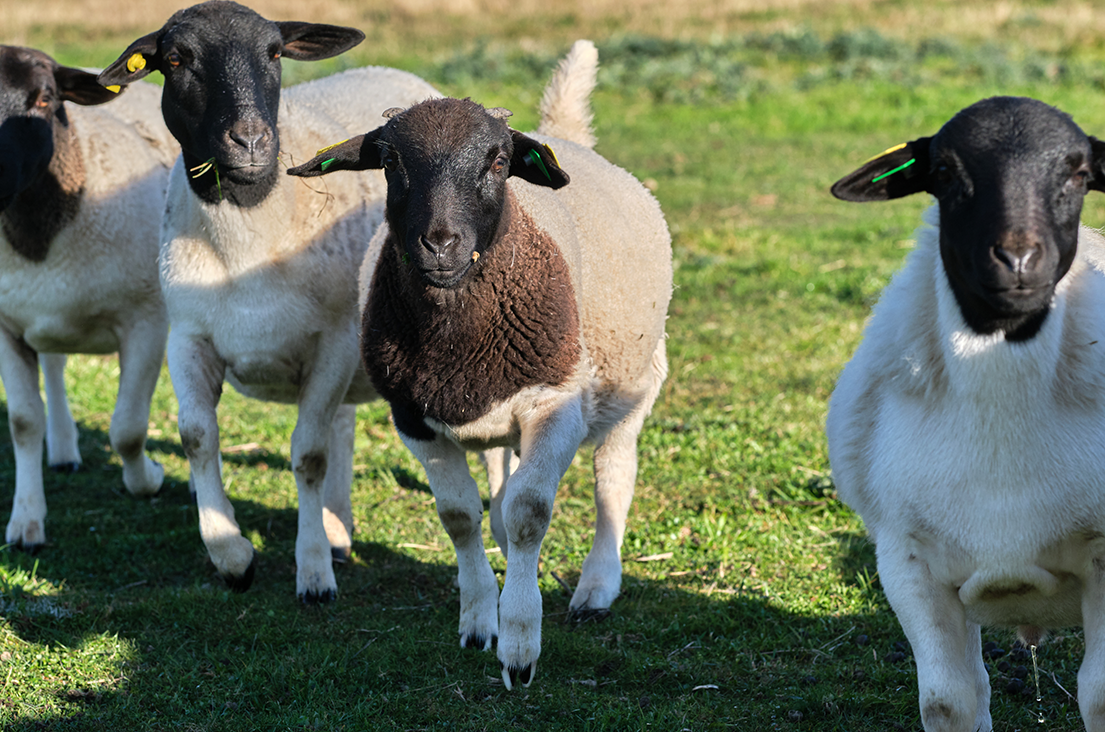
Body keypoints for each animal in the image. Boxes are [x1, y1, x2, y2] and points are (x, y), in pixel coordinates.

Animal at [0, 45, 178, 551]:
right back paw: (62, 449)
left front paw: (150, 479)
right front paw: (26, 522)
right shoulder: (7, 326)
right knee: (55, 364)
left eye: (45, 98)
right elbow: (24, 421)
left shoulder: (145, 319)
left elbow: (128, 430)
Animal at [97, 0, 442, 603]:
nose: (252, 142)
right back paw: (337, 529)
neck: (247, 240)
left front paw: (313, 573)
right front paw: (233, 556)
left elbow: (308, 455)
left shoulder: (332, 344)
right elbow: (196, 437)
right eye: (176, 58)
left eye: (276, 53)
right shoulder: (188, 336)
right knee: (343, 425)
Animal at [287, 40, 672, 689]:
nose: (439, 243)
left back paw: (597, 586)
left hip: (634, 385)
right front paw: (477, 619)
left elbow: (529, 514)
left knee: (613, 479)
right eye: (389, 159)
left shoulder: (556, 405)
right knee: (503, 472)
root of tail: (560, 134)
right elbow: (459, 516)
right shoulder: (414, 419)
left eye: (497, 161)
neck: (457, 339)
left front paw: (518, 643)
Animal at [827, 96, 1105, 732]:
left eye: (1080, 174)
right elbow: (949, 701)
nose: (1018, 259)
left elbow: (1100, 693)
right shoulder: (907, 563)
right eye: (944, 172)